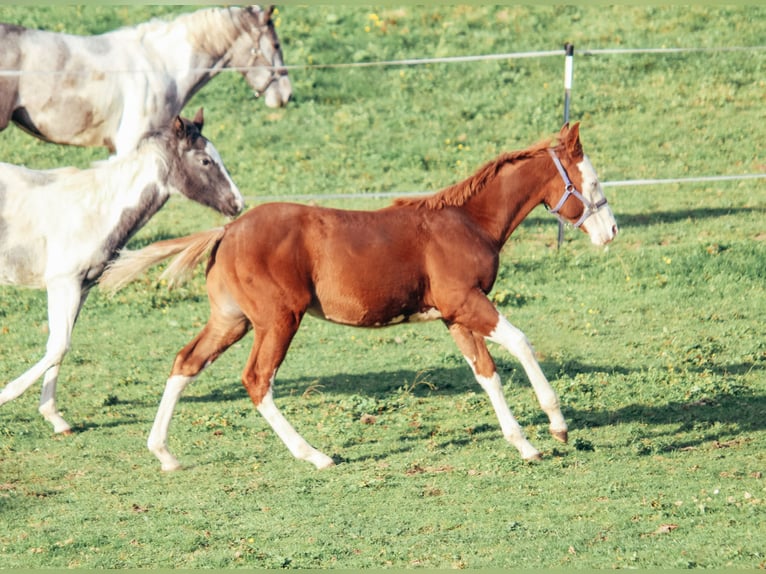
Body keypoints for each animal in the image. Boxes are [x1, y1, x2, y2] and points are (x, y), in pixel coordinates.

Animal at [0, 108, 244, 435]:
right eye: (205, 160)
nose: (237, 204)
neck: (97, 210)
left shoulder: (81, 288)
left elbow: (58, 346)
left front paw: (55, 418)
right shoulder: (63, 282)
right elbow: (59, 346)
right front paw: (7, 396)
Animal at [100, 123, 618, 470]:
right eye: (592, 183)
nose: (611, 231)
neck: (467, 222)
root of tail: (227, 230)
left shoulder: (454, 316)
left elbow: (485, 373)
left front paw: (524, 444)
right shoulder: (468, 303)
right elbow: (521, 342)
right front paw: (557, 425)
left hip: (232, 320)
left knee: (186, 362)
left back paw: (164, 453)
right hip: (278, 320)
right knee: (257, 380)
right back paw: (314, 455)